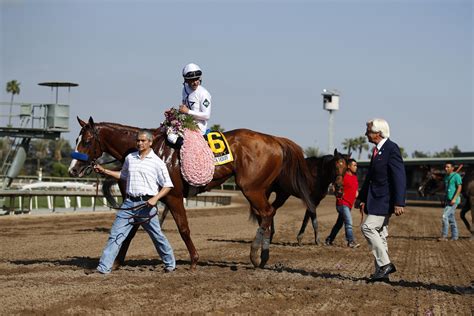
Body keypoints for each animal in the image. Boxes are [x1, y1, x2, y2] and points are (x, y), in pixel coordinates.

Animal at [67, 116, 318, 270]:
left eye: (87, 141)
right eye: (76, 139)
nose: (72, 169)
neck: (152, 150)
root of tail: (275, 140)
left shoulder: (173, 196)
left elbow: (183, 228)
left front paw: (194, 261)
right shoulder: (145, 200)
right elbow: (131, 229)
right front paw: (117, 262)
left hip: (251, 187)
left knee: (266, 213)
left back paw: (256, 254)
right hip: (259, 189)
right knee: (268, 215)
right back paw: (262, 256)